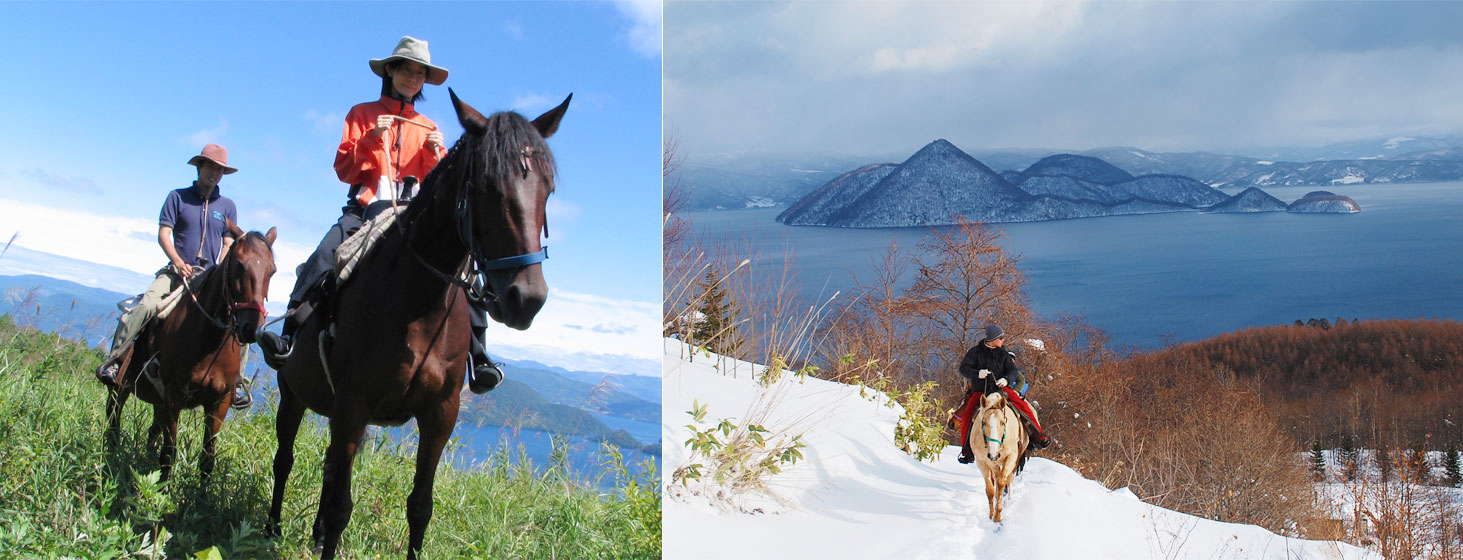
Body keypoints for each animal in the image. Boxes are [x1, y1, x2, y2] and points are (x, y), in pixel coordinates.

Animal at [105, 221, 277, 483]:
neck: (207, 341)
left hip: (158, 402)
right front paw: (162, 491)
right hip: (120, 389)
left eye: (272, 270)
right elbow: (169, 454)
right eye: (238, 264)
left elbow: (207, 459)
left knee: (151, 432)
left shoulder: (219, 403)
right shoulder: (173, 397)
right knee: (113, 424)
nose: (250, 326)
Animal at [267, 90, 567, 559]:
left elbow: (420, 507)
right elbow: (340, 508)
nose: (527, 299)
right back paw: (271, 527)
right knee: (285, 460)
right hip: (292, 394)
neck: (416, 307)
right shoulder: (352, 408)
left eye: (548, 190)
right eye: (486, 186)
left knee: (329, 467)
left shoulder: (439, 415)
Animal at [974, 390, 1029, 523]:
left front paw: (998, 515)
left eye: (1003, 422)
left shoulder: (1012, 457)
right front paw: (991, 514)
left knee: (1009, 479)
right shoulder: (984, 461)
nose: (994, 454)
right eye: (983, 422)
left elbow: (1002, 481)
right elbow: (990, 489)